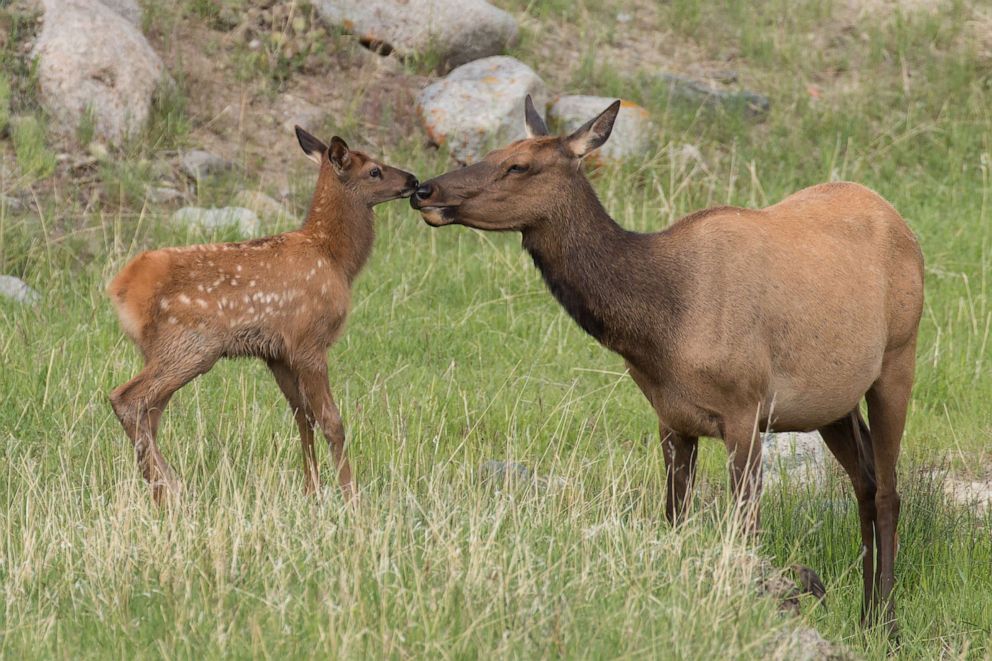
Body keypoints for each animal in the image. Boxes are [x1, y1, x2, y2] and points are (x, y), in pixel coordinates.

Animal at [108, 126, 418, 502]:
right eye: (374, 170)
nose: (414, 180)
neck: (335, 259)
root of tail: (123, 288)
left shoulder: (277, 353)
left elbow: (303, 416)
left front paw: (311, 490)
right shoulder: (309, 340)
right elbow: (332, 421)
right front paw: (350, 495)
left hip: (161, 350)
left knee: (149, 413)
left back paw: (163, 488)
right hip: (190, 344)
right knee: (127, 399)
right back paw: (169, 488)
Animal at [408, 94, 924, 628]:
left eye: (518, 165)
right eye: (496, 150)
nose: (424, 189)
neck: (661, 328)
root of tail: (899, 221)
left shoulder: (745, 407)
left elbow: (745, 526)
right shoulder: (670, 417)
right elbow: (674, 519)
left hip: (898, 355)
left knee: (888, 491)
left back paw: (886, 622)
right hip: (832, 401)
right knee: (864, 481)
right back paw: (865, 614)